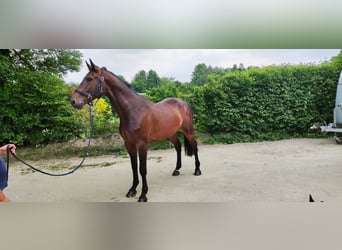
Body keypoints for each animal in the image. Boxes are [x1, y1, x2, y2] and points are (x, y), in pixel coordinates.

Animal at [71, 59, 202, 201]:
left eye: (89, 79)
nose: (73, 101)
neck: (133, 111)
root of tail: (184, 103)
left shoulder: (142, 144)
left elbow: (142, 169)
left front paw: (143, 195)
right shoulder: (129, 144)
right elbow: (134, 167)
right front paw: (132, 190)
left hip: (188, 131)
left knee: (194, 147)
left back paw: (197, 170)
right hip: (170, 133)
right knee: (178, 146)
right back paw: (177, 170)